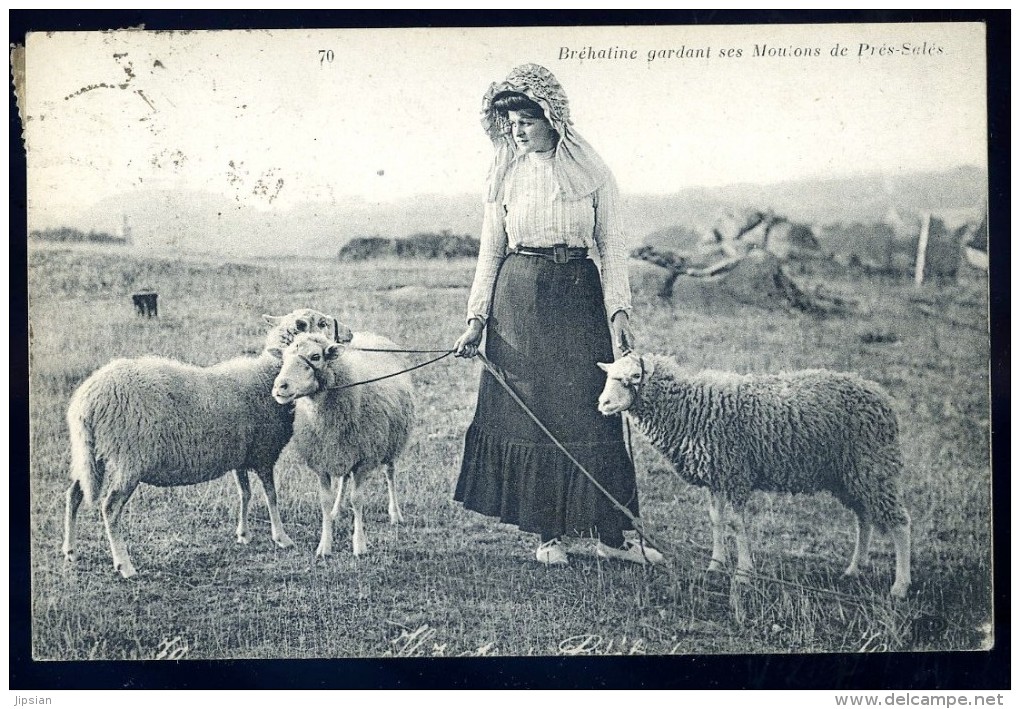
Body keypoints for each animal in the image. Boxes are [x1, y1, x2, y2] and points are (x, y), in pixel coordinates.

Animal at [61, 310, 354, 575]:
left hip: (90, 453)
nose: (349, 333)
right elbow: (271, 496)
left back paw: (70, 550)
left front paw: (243, 534)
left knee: (74, 493)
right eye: (323, 323)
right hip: (129, 459)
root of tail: (88, 400)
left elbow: (244, 493)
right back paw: (125, 565)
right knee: (110, 507)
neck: (266, 373)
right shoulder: (263, 454)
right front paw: (281, 538)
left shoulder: (240, 455)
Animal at [271, 330, 418, 559]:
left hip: (392, 441)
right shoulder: (321, 462)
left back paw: (395, 514)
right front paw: (325, 545)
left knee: (390, 474)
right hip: (343, 451)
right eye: (284, 358)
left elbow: (356, 500)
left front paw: (360, 545)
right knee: (343, 479)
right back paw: (336, 511)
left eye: (315, 357)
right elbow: (324, 501)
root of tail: (369, 335)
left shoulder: (364, 461)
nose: (280, 386)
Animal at [595, 355, 913, 599]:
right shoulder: (717, 476)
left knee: (899, 523)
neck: (691, 405)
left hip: (873, 465)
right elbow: (716, 519)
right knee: (864, 518)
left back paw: (900, 586)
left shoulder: (735, 474)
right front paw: (715, 564)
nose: (603, 403)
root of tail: (879, 394)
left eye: (634, 376)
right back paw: (853, 569)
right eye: (610, 376)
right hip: (849, 474)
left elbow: (737, 524)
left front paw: (743, 573)